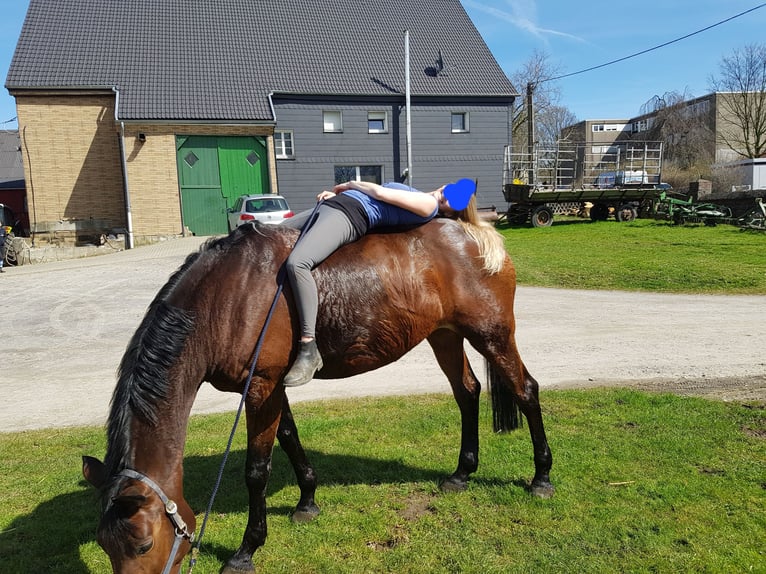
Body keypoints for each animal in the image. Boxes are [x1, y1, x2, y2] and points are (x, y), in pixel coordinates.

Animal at [82, 218, 552, 572]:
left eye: (143, 546)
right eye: (104, 545)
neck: (226, 297)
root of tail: (476, 233)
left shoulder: (261, 387)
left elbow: (257, 470)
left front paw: (246, 549)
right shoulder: (274, 388)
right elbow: (290, 439)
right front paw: (307, 501)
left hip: (492, 334)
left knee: (526, 391)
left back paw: (541, 477)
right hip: (445, 336)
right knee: (467, 393)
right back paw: (461, 472)